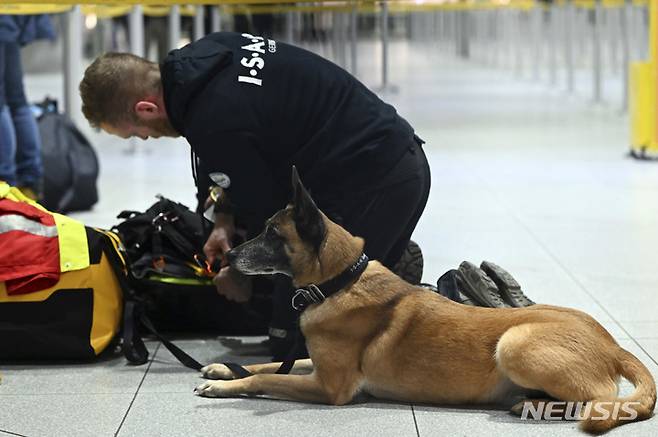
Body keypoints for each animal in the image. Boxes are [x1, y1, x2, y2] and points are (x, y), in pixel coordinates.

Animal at [193, 167, 652, 432]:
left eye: (272, 233)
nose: (226, 257)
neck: (340, 280)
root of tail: (613, 344)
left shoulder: (330, 387)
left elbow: (268, 378)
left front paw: (223, 387)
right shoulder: (316, 365)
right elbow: (268, 364)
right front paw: (222, 368)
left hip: (515, 343)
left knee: (605, 399)